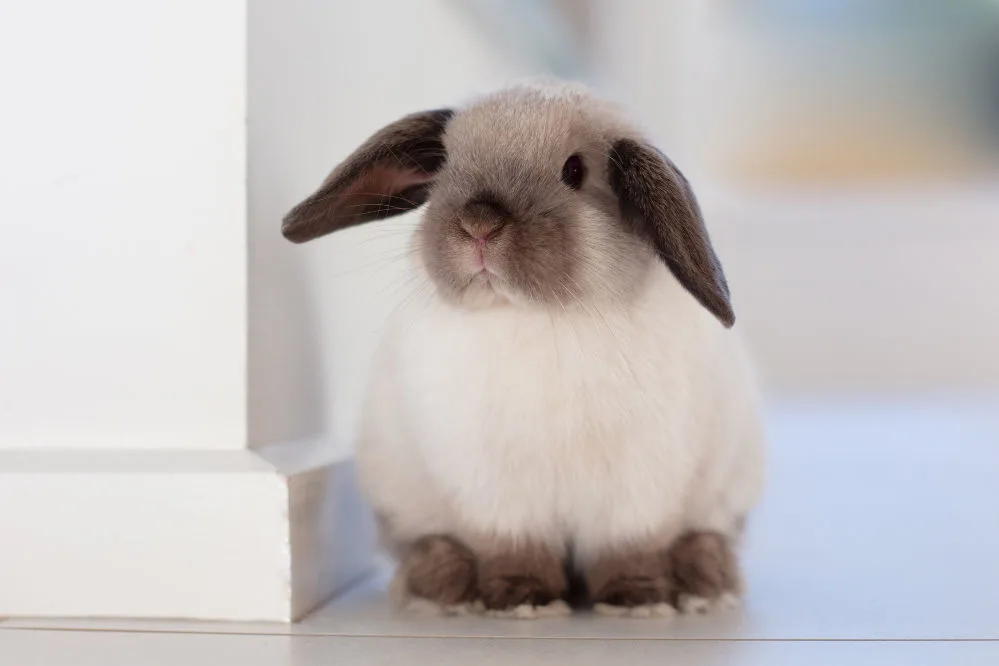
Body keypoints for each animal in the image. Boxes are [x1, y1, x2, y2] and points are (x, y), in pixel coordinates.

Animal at [286, 80, 768, 616]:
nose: (478, 223)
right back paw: (438, 582)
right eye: (446, 164)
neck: (536, 317)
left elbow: (629, 548)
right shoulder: (497, 492)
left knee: (704, 538)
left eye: (575, 171)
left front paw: (637, 599)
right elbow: (515, 547)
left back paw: (708, 579)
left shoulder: (638, 487)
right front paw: (521, 598)